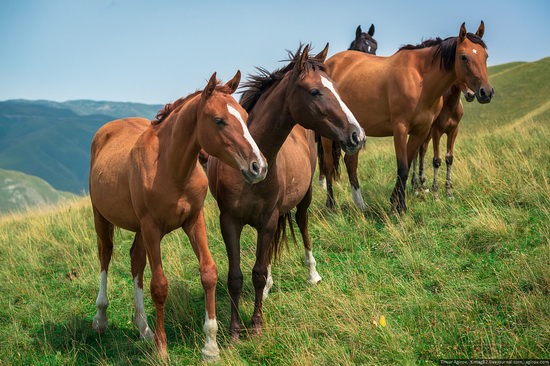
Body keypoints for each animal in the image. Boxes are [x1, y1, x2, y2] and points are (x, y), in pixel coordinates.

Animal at [88, 71, 268, 360]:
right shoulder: (152, 229)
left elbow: (208, 273)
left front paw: (211, 346)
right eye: (219, 120)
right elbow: (159, 285)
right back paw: (101, 319)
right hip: (102, 217)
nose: (259, 167)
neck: (170, 169)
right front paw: (162, 348)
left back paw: (143, 328)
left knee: (135, 261)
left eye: (244, 115)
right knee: (105, 254)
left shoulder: (194, 221)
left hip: (138, 229)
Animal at [207, 45, 366, 340]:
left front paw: (256, 324)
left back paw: (312, 274)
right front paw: (234, 330)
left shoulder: (269, 217)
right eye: (315, 91)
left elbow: (257, 272)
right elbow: (236, 276)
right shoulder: (229, 221)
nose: (357, 136)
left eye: (336, 88)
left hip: (304, 199)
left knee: (302, 226)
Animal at [326, 20, 494, 214]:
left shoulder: (421, 131)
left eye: (485, 56)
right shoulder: (400, 128)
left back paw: (361, 205)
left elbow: (408, 162)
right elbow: (403, 167)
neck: (419, 79)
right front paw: (399, 208)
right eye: (463, 57)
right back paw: (331, 206)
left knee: (351, 161)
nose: (486, 92)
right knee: (329, 166)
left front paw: (396, 203)